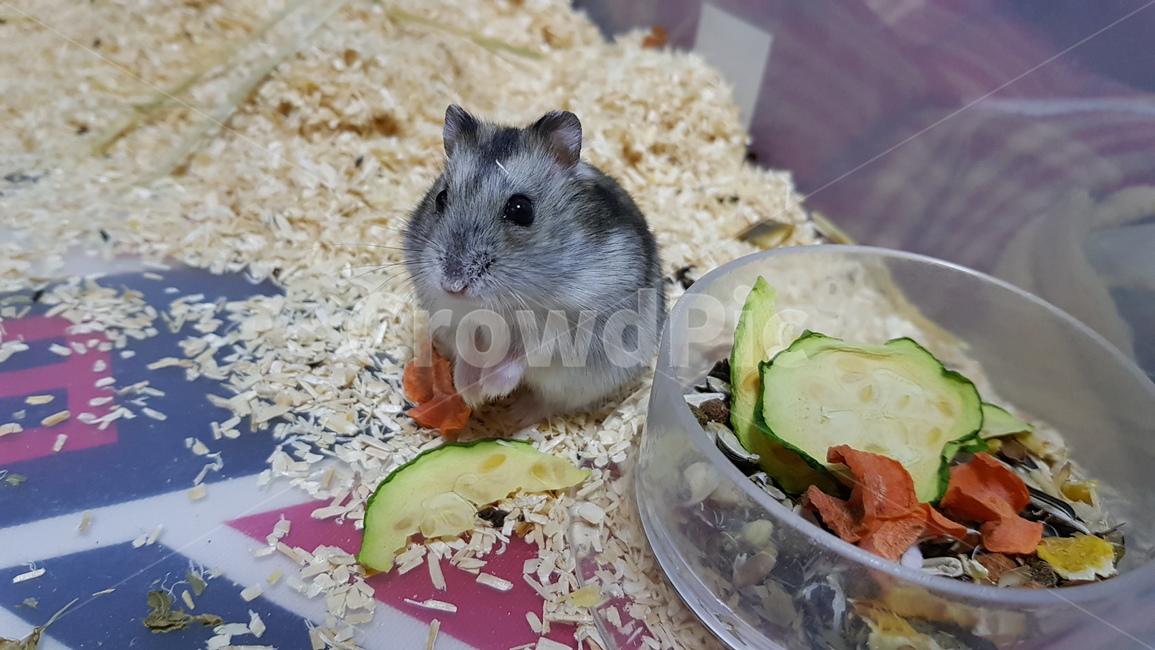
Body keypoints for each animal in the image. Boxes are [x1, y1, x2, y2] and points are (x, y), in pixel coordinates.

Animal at [403, 105, 665, 425]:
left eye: (521, 209)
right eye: (440, 198)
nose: (453, 286)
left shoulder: (571, 328)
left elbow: (525, 356)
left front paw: (489, 389)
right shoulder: (452, 321)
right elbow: (467, 351)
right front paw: (469, 391)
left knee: (551, 401)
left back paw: (514, 414)